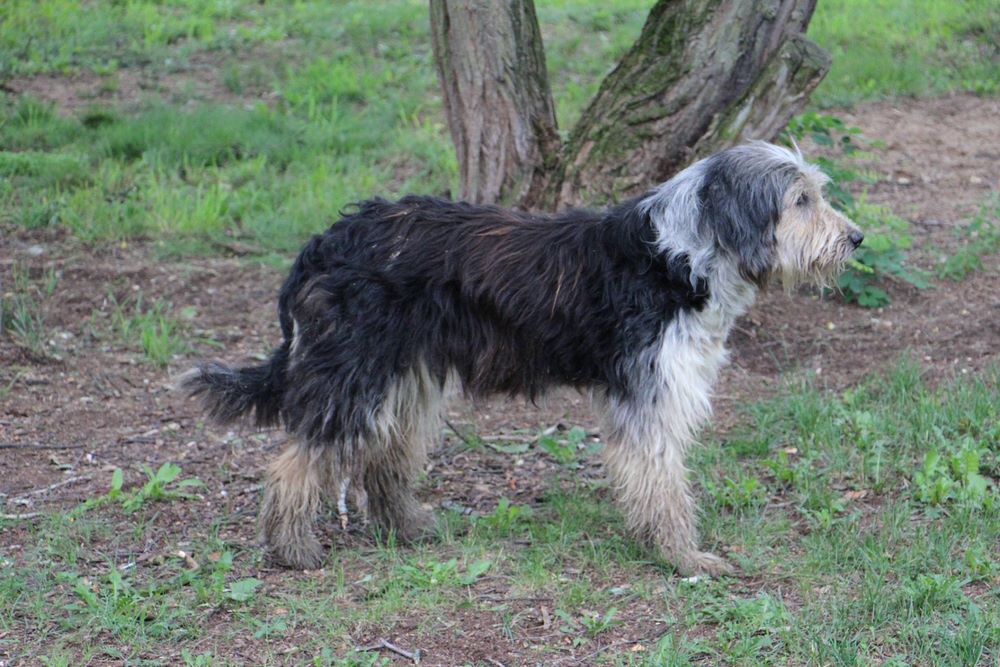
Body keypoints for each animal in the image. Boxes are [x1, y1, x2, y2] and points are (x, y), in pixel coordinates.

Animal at [182, 141, 862, 575]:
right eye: (799, 199)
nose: (856, 239)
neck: (684, 251)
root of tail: (326, 240)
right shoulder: (650, 396)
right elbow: (663, 484)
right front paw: (681, 557)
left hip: (405, 377)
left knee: (383, 457)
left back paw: (407, 528)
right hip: (353, 375)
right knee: (295, 461)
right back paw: (291, 550)